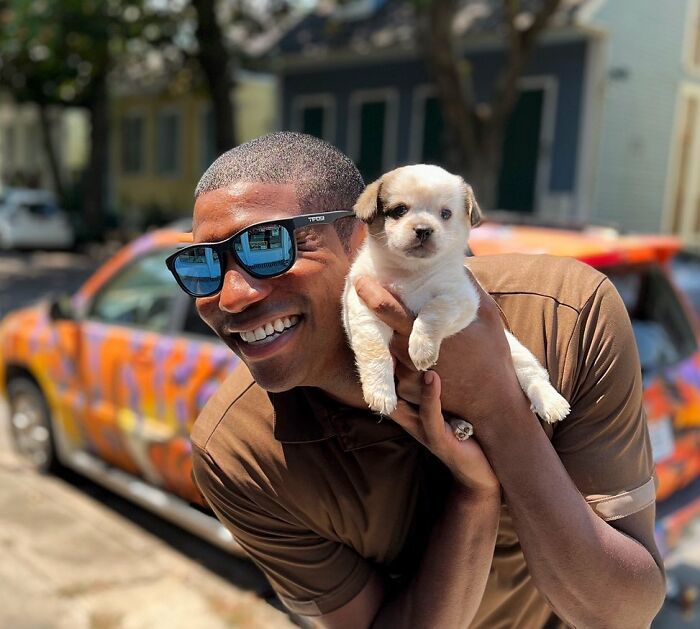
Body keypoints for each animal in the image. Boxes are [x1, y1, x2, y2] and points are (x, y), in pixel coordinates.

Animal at [342, 164, 572, 424]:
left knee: (534, 376)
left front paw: (422, 348)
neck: (411, 271)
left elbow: (432, 312)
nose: (423, 230)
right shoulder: (363, 309)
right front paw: (380, 392)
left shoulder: (460, 298)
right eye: (400, 210)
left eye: (445, 214)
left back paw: (552, 403)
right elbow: (374, 351)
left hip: (519, 354)